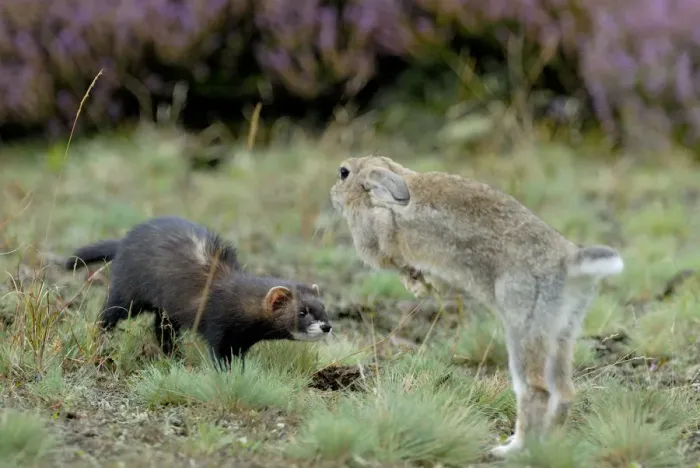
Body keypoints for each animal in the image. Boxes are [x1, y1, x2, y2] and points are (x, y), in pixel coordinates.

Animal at [329, 155, 624, 457]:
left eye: (344, 173)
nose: (332, 194)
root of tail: (570, 263)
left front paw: (417, 284)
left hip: (526, 324)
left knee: (536, 389)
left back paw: (512, 449)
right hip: (563, 327)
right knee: (563, 391)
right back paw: (548, 445)